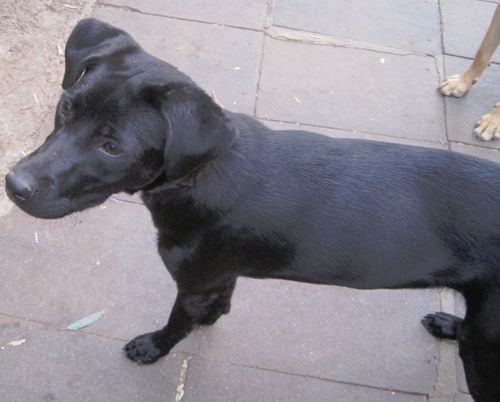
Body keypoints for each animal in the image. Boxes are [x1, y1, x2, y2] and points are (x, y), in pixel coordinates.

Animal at [3, 18, 500, 398]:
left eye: (111, 147)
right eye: (66, 107)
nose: (14, 185)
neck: (199, 176)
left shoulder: (193, 283)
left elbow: (177, 323)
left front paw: (154, 346)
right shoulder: (219, 274)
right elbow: (221, 299)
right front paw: (212, 317)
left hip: (485, 348)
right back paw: (449, 323)